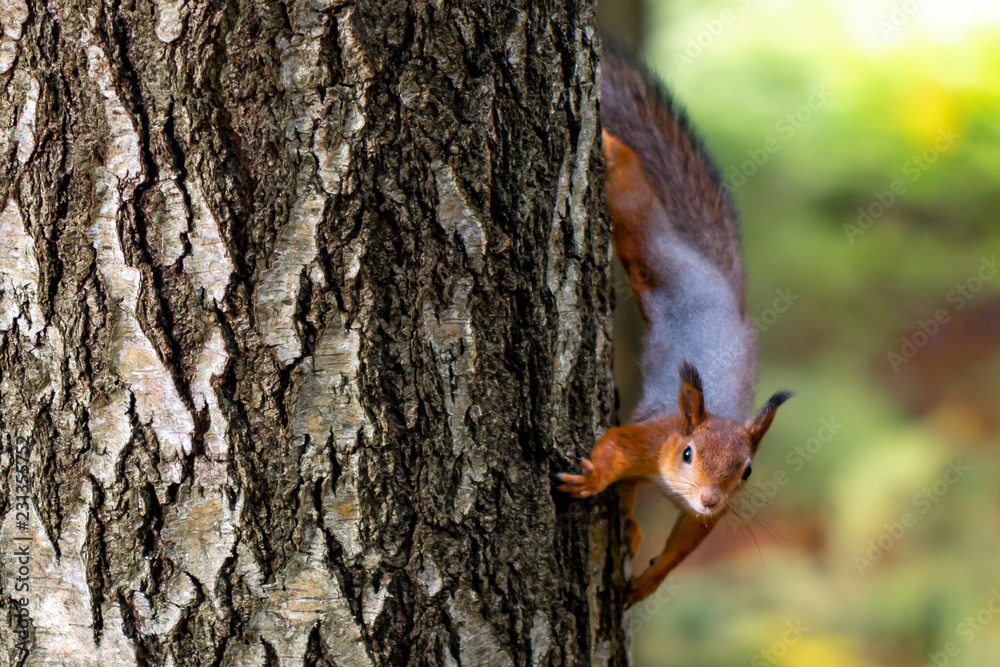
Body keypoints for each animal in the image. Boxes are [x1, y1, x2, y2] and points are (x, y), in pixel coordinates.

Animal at [557, 44, 791, 606]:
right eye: (687, 453)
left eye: (747, 471)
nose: (708, 497)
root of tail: (722, 284)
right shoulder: (650, 436)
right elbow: (615, 449)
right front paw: (592, 479)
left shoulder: (706, 520)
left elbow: (684, 546)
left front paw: (647, 582)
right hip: (652, 247)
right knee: (633, 191)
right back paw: (610, 145)